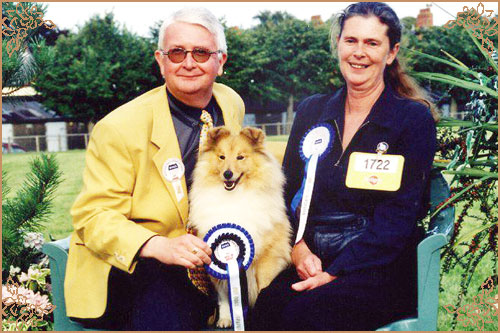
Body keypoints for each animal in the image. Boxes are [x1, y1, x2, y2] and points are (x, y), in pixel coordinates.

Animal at [190, 126, 292, 326]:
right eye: (221, 157)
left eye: (240, 157)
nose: (227, 174)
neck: (234, 196)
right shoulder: (215, 258)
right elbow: (223, 295)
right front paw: (225, 319)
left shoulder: (267, 258)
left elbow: (264, 288)